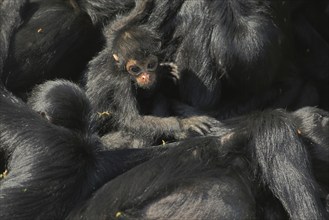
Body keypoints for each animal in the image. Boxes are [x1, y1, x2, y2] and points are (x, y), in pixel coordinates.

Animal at [84, 0, 218, 148]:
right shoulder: (121, 82)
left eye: (150, 65)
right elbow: (132, 121)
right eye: (135, 69)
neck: (117, 66)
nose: (145, 76)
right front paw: (184, 124)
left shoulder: (111, 48)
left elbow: (112, 29)